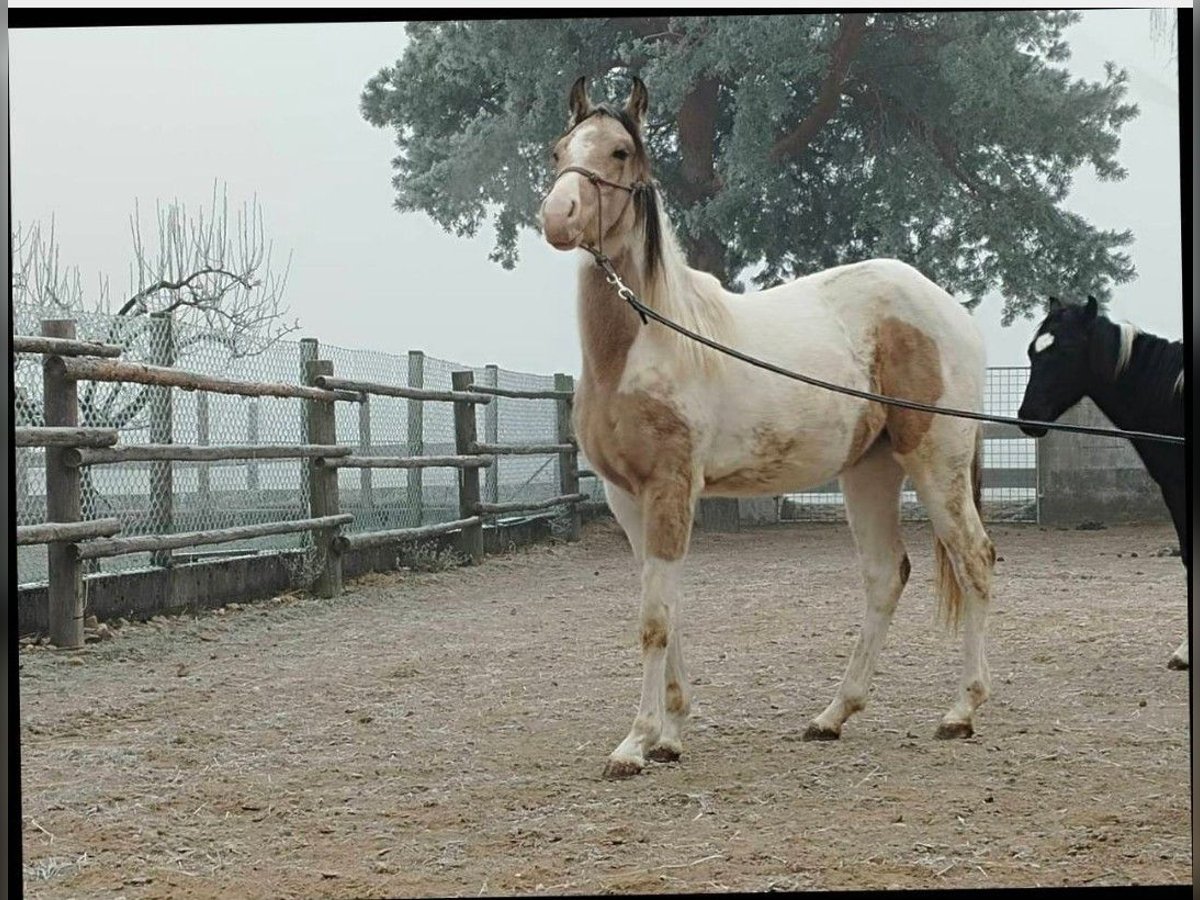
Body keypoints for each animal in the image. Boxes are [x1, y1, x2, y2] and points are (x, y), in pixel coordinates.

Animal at [540, 79, 998, 782]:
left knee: (974, 560)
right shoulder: (626, 497)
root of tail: (951, 311)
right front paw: (670, 735)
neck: (650, 341)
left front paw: (635, 743)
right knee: (884, 575)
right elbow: (668, 607)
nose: (558, 216)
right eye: (560, 149)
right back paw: (833, 716)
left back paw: (961, 711)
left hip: (935, 463)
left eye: (619, 151)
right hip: (869, 471)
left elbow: (654, 618)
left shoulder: (671, 487)